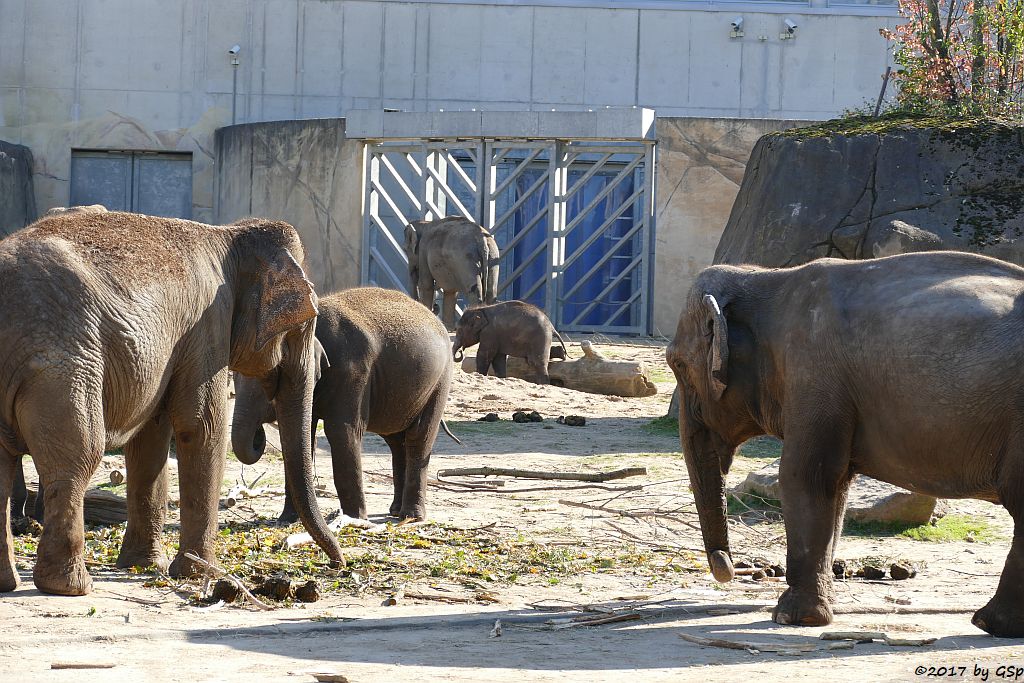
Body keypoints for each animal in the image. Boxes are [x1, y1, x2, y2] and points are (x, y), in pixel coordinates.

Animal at [0, 210, 346, 593]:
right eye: (304, 324)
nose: (338, 565)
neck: (231, 235)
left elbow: (150, 439)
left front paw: (145, 565)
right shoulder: (207, 328)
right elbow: (202, 428)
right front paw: (202, 574)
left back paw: (8, 583)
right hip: (63, 369)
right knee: (78, 457)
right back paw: (71, 587)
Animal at [234, 286, 458, 520]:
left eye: (270, 376)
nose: (258, 436)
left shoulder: (353, 372)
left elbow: (341, 431)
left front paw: (354, 519)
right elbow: (300, 436)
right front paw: (285, 520)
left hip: (440, 381)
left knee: (419, 436)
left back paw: (411, 516)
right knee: (396, 440)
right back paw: (396, 511)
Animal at [667, 252, 1024, 643]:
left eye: (678, 364)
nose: (729, 568)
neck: (766, 278)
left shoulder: (812, 373)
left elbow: (804, 477)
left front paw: (794, 618)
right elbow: (836, 486)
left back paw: (990, 623)